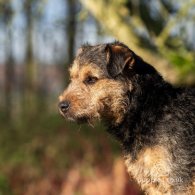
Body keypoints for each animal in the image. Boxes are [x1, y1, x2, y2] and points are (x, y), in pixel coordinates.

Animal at [58, 41, 195, 195]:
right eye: (72, 78)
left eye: (91, 79)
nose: (62, 106)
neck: (147, 108)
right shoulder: (153, 183)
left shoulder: (179, 179)